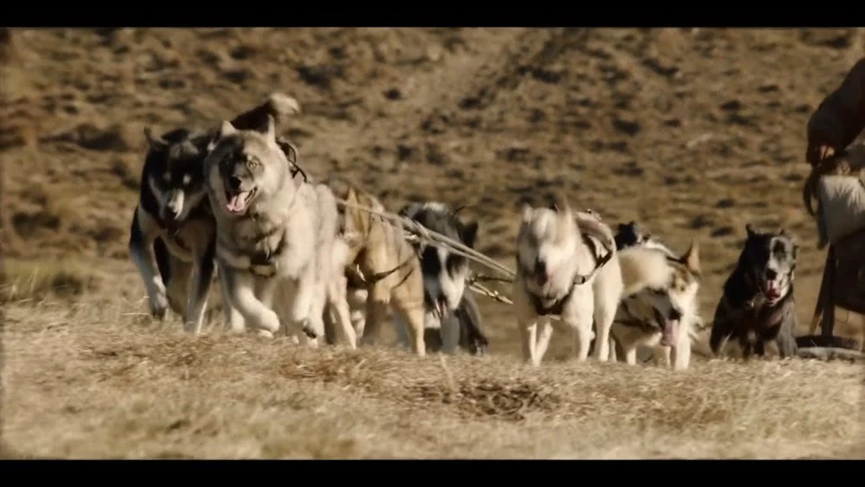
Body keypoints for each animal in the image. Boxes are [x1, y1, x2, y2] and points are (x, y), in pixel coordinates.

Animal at [202, 115, 354, 346]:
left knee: (318, 295)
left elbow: (298, 308)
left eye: (253, 163)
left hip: (320, 260)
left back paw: (313, 325)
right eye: (226, 161)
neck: (256, 225)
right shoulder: (234, 268)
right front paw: (267, 322)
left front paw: (304, 323)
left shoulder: (302, 266)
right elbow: (244, 301)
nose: (235, 180)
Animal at [510, 194, 624, 366]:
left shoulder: (581, 327)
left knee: (603, 335)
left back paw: (599, 357)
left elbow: (579, 355)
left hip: (604, 304)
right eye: (533, 241)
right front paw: (532, 363)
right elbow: (528, 351)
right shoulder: (526, 318)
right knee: (545, 332)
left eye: (556, 242)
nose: (540, 264)